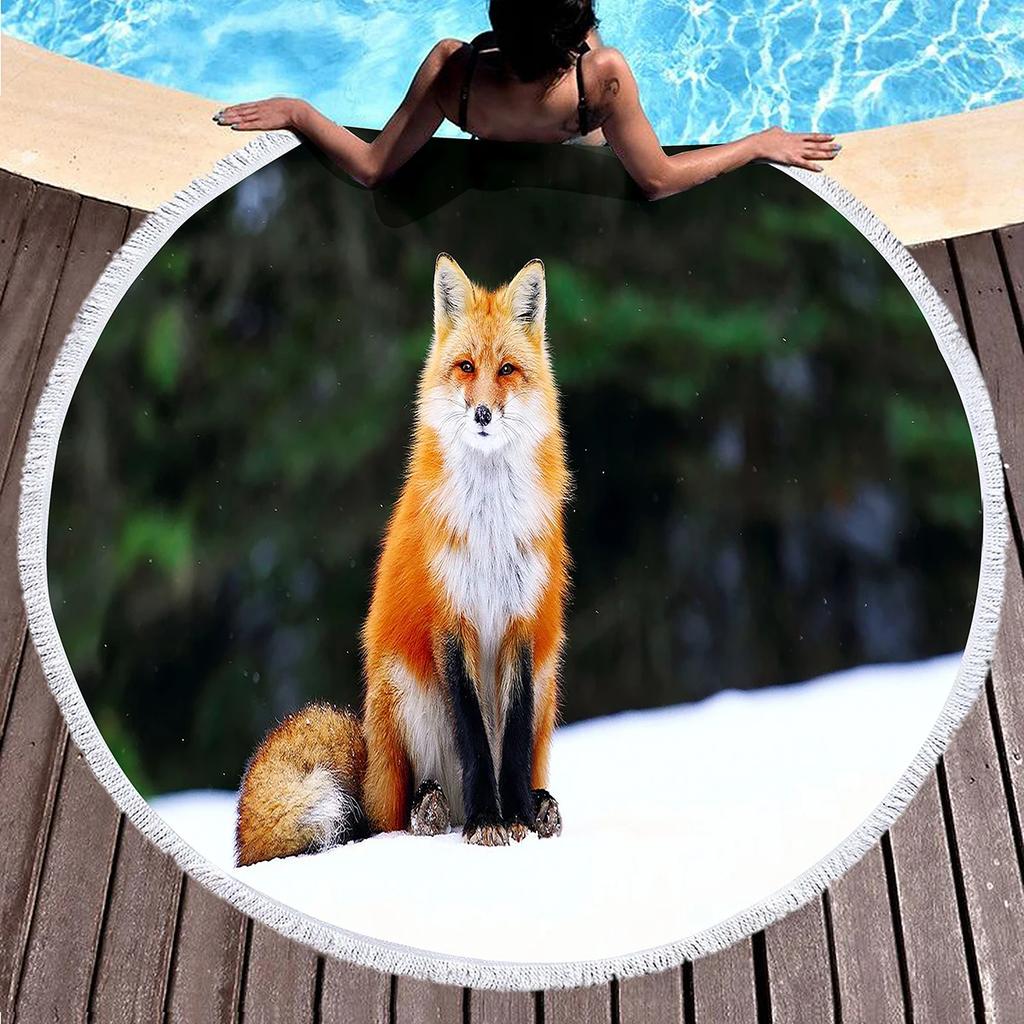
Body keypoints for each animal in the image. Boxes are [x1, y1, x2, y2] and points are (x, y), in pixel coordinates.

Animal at [236, 253, 571, 864]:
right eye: (466, 367)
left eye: (507, 370)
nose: (482, 413)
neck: (489, 527)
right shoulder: (450, 623)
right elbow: (473, 740)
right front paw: (488, 822)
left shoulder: (522, 623)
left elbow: (508, 746)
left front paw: (518, 819)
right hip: (405, 690)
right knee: (394, 817)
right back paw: (433, 811)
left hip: (545, 683)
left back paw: (540, 806)